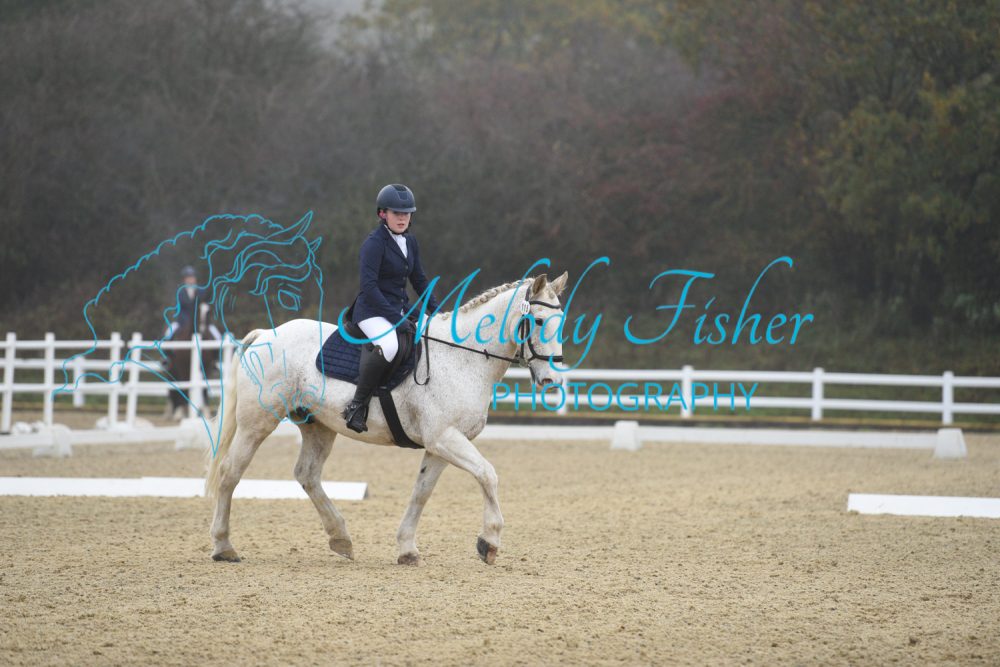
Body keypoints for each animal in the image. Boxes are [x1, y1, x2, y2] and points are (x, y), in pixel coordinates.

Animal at [205, 271, 569, 566]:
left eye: (561, 321)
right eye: (538, 321)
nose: (552, 379)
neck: (463, 359)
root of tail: (267, 333)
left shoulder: (440, 445)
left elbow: (421, 492)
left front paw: (407, 549)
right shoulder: (445, 437)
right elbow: (487, 474)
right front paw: (489, 542)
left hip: (318, 426)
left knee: (307, 475)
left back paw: (341, 539)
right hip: (257, 424)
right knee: (230, 473)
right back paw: (224, 546)